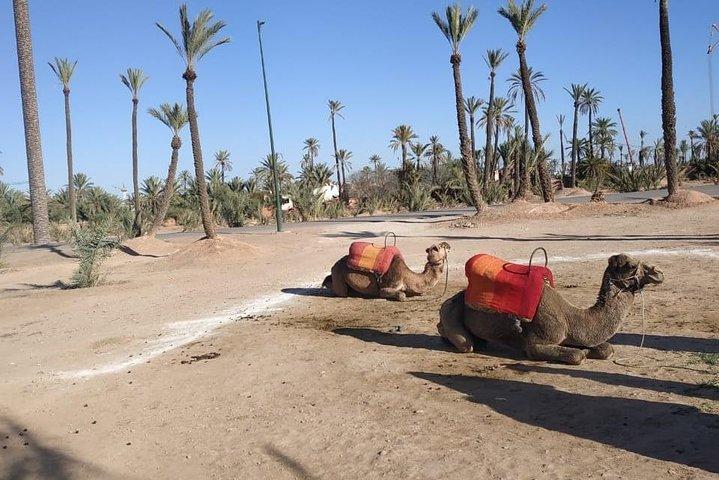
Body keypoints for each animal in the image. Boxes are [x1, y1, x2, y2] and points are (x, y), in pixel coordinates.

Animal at [438, 253, 664, 365]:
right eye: (631, 266)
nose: (659, 273)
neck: (571, 318)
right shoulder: (537, 342)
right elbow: (576, 356)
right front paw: (581, 353)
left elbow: (606, 349)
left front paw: (594, 349)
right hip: (451, 312)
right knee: (465, 344)